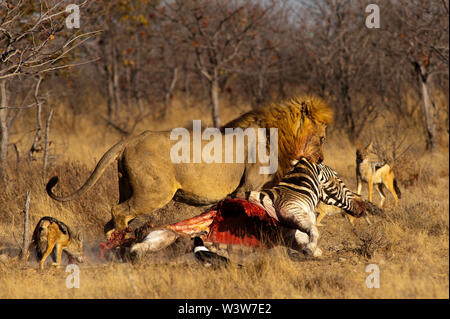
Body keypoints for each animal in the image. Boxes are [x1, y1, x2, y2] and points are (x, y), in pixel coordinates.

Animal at [45, 95, 334, 235]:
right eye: (322, 138)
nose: (321, 160)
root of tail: (130, 139)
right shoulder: (248, 186)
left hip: (126, 186)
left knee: (110, 219)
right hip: (154, 192)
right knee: (118, 212)